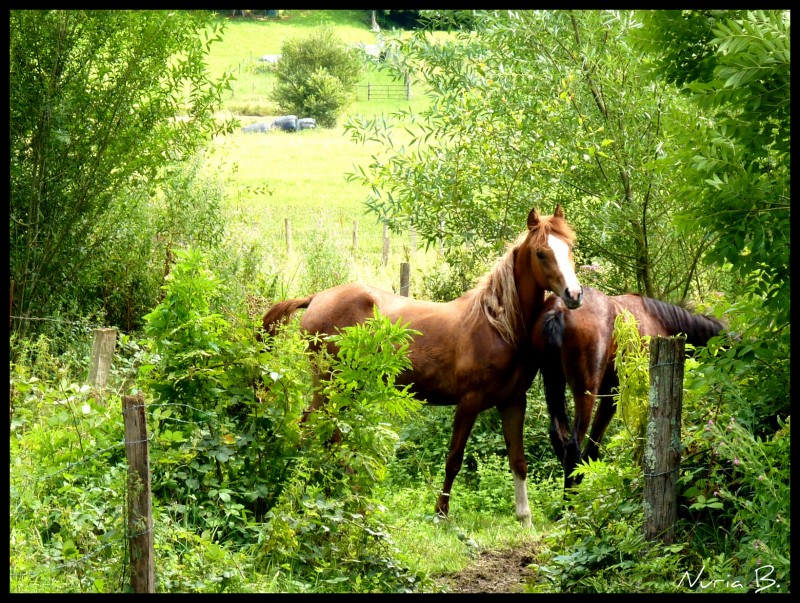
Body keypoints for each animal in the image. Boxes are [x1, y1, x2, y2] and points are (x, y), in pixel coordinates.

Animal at [262, 205, 580, 528]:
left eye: (570, 247)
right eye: (541, 253)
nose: (574, 294)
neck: (497, 325)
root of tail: (316, 298)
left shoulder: (513, 402)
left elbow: (518, 461)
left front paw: (525, 519)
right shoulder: (469, 402)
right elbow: (454, 459)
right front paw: (441, 514)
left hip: (346, 389)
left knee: (330, 435)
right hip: (331, 386)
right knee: (310, 431)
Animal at [532, 286, 724, 490]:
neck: (661, 321)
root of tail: (558, 310)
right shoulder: (621, 396)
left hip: (553, 385)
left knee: (559, 437)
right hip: (585, 392)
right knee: (573, 446)